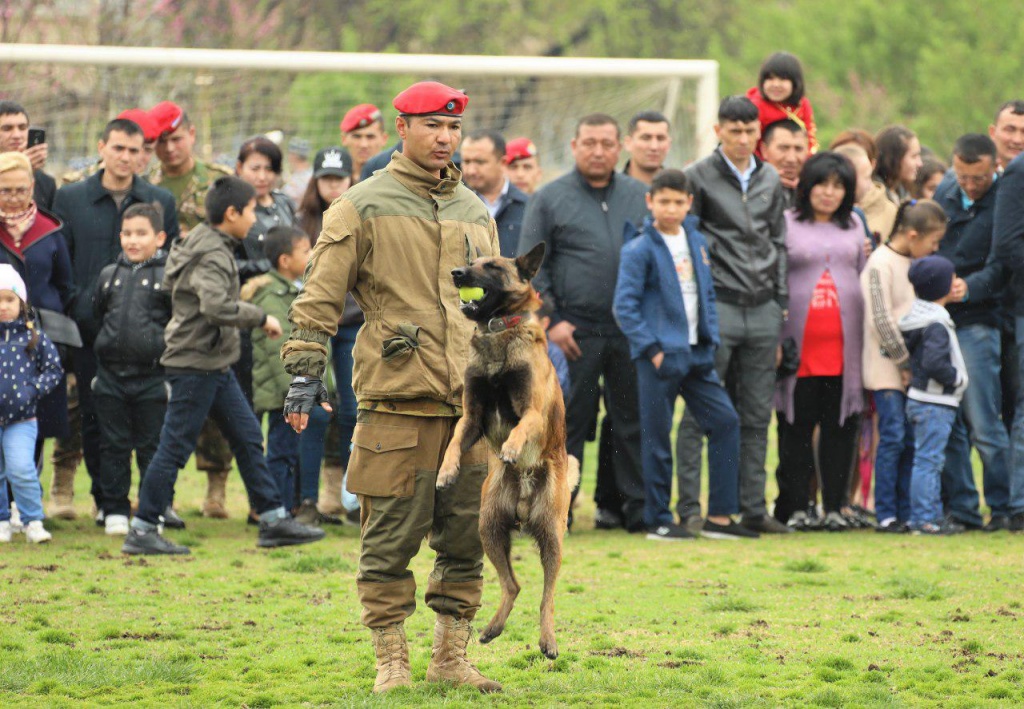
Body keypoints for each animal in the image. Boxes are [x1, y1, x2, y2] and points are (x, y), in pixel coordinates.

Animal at [436, 242, 581, 659]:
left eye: (493, 267)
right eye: (472, 262)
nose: (456, 273)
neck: (497, 332)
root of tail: (524, 499)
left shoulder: (532, 410)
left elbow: (522, 426)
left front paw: (514, 448)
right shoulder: (471, 417)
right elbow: (455, 442)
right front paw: (446, 471)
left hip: (552, 538)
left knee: (547, 596)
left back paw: (548, 640)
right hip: (489, 528)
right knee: (513, 585)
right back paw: (492, 628)